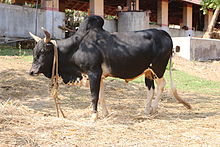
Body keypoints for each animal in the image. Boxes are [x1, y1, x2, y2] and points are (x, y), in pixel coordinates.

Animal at [28, 15, 191, 120]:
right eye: (34, 52)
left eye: (43, 51)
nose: (32, 71)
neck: (78, 46)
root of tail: (165, 34)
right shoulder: (97, 75)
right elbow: (101, 95)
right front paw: (104, 113)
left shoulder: (93, 72)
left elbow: (94, 95)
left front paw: (94, 116)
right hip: (148, 72)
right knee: (150, 89)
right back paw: (146, 111)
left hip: (158, 68)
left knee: (162, 84)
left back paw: (154, 108)